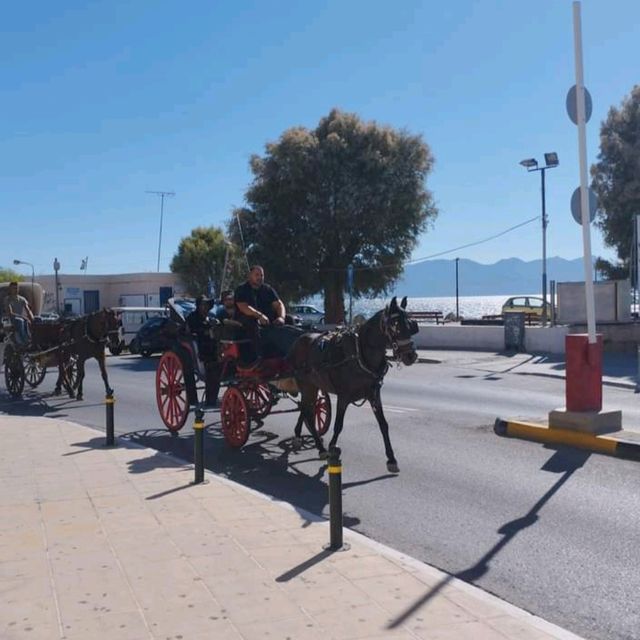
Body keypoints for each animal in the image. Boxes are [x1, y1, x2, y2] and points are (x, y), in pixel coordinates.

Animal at [290, 298, 420, 472]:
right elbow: (338, 425)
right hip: (305, 383)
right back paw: (321, 448)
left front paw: (391, 459)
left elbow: (383, 424)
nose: (411, 356)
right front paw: (331, 448)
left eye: (411, 324)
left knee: (306, 409)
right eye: (395, 324)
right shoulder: (343, 396)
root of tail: (299, 338)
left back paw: (299, 436)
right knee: (307, 411)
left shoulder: (374, 394)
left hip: (313, 385)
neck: (360, 354)